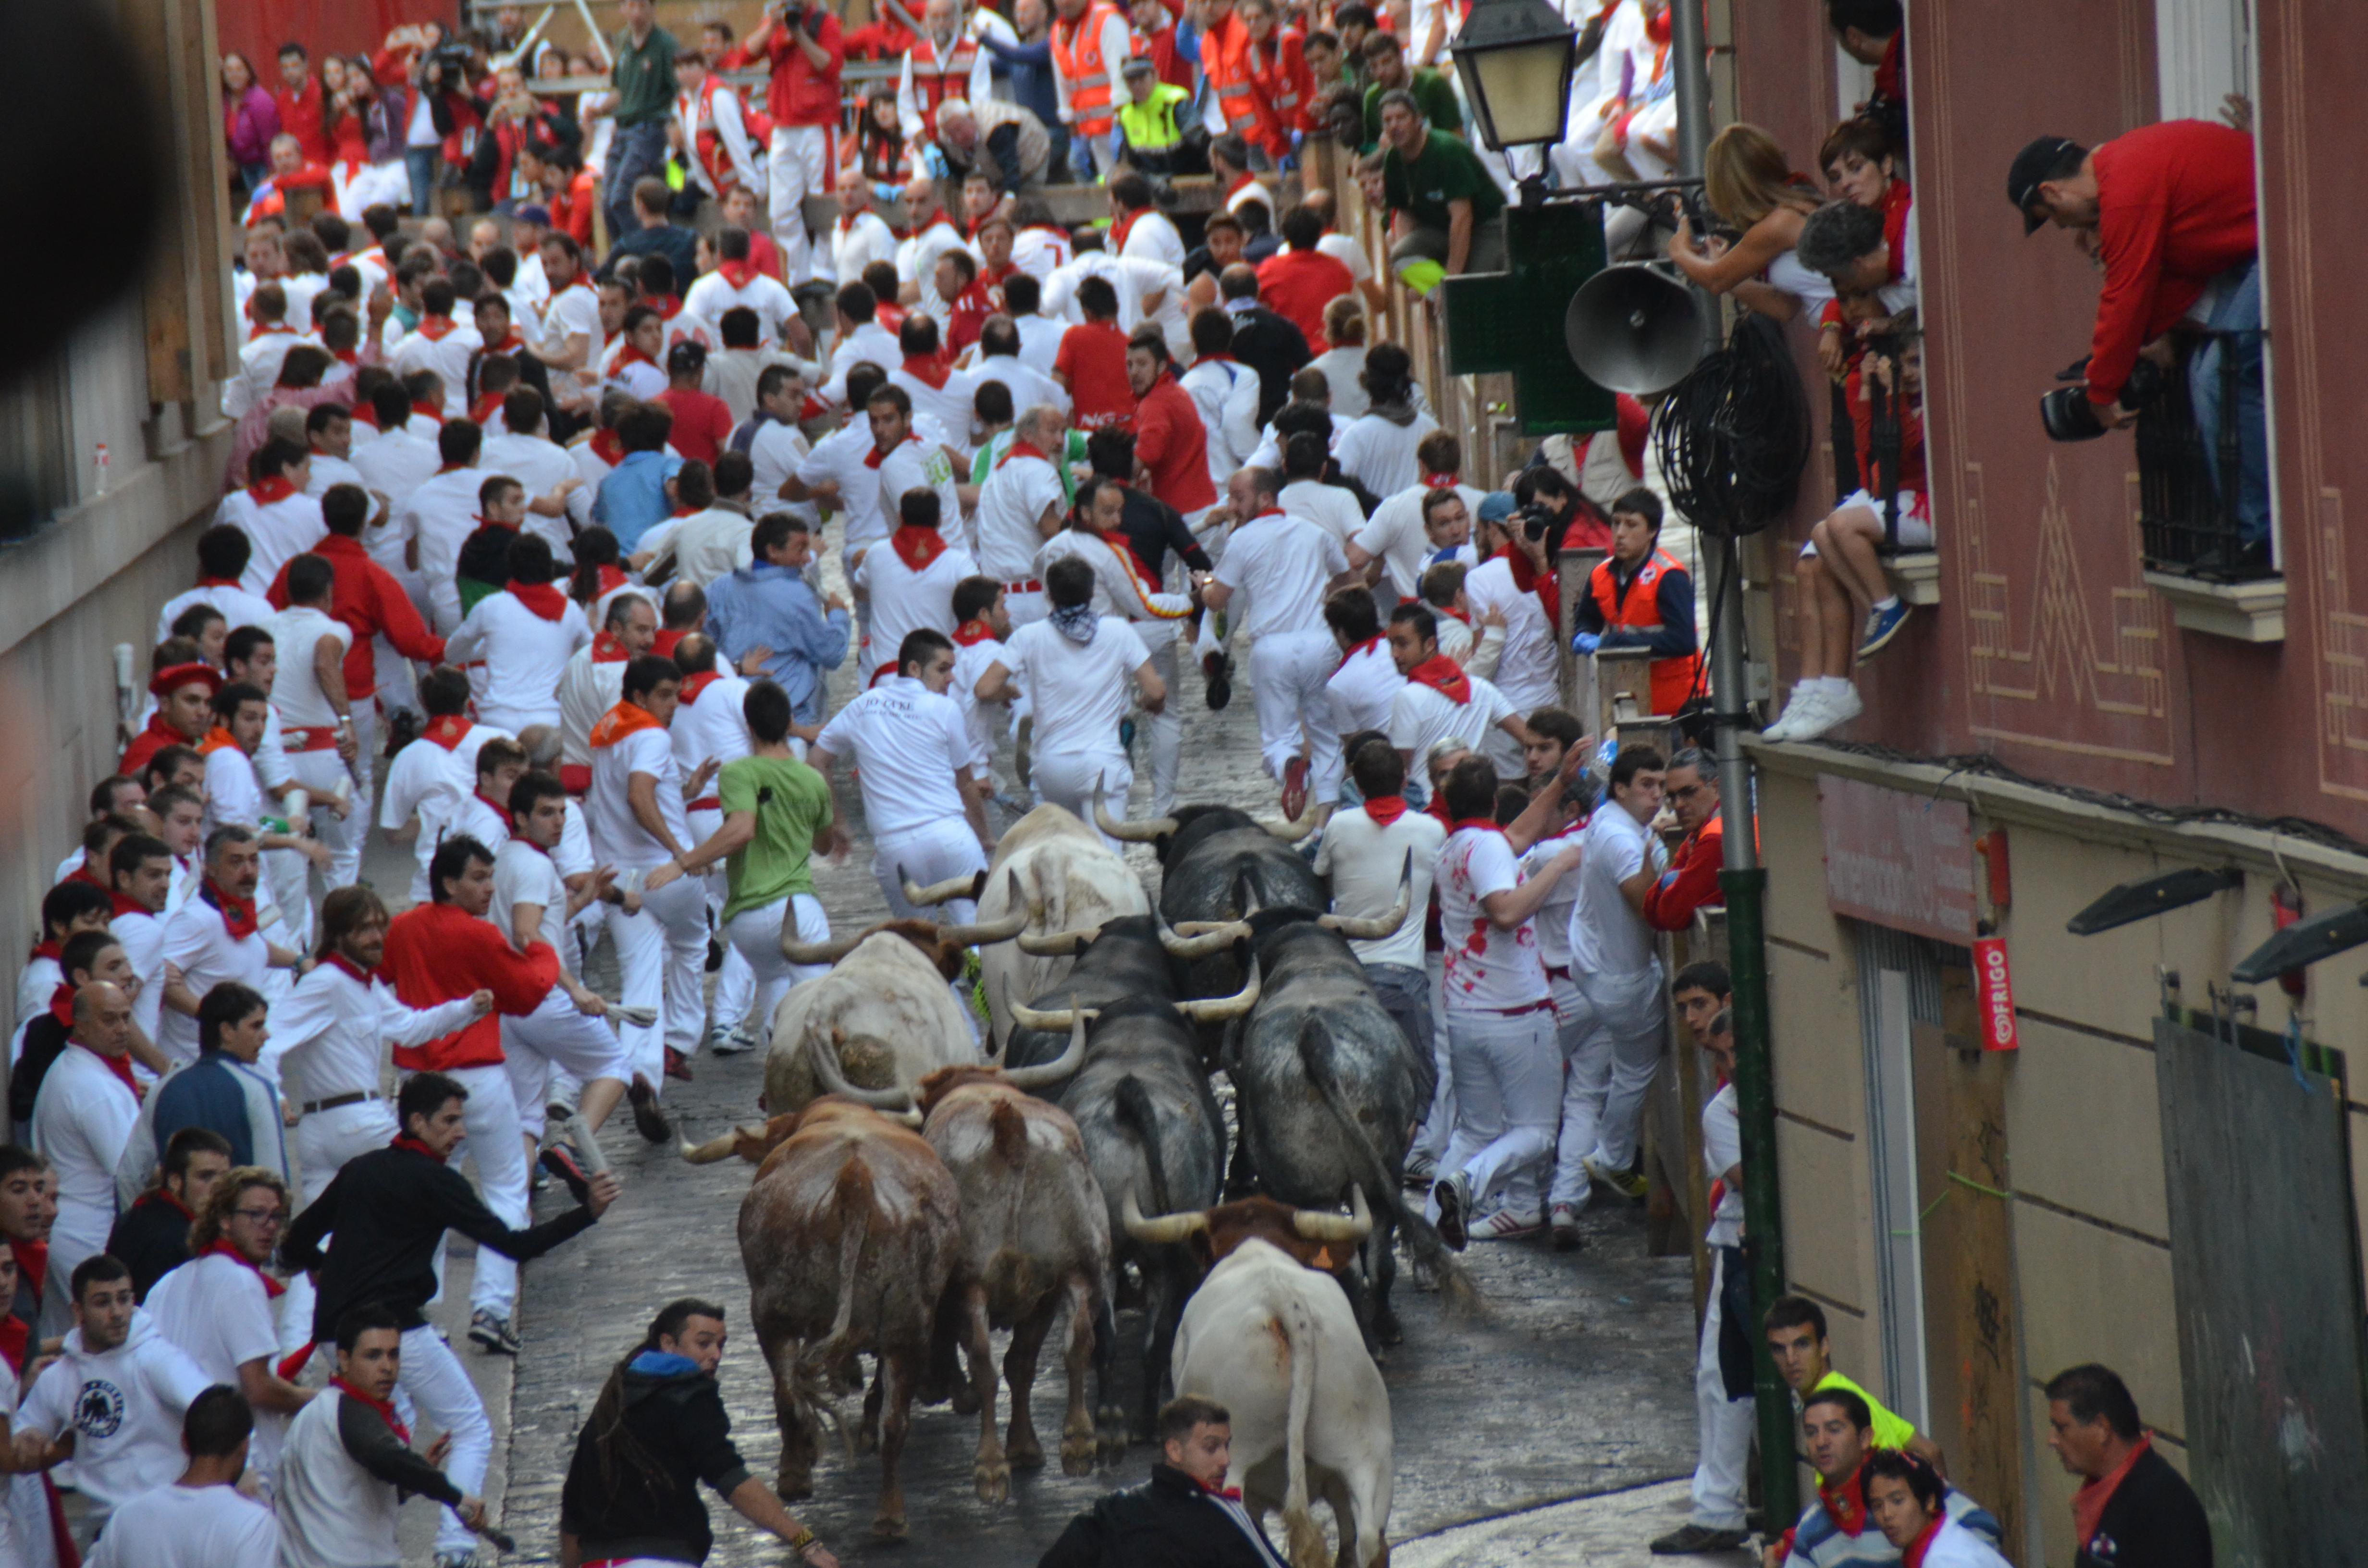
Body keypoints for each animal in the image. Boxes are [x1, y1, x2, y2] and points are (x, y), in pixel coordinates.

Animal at [691, 1099, 961, 1544]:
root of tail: (856, 1179)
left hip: (772, 1310)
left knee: (788, 1396)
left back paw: (795, 1478)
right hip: (909, 1321)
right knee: (894, 1422)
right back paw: (891, 1518)